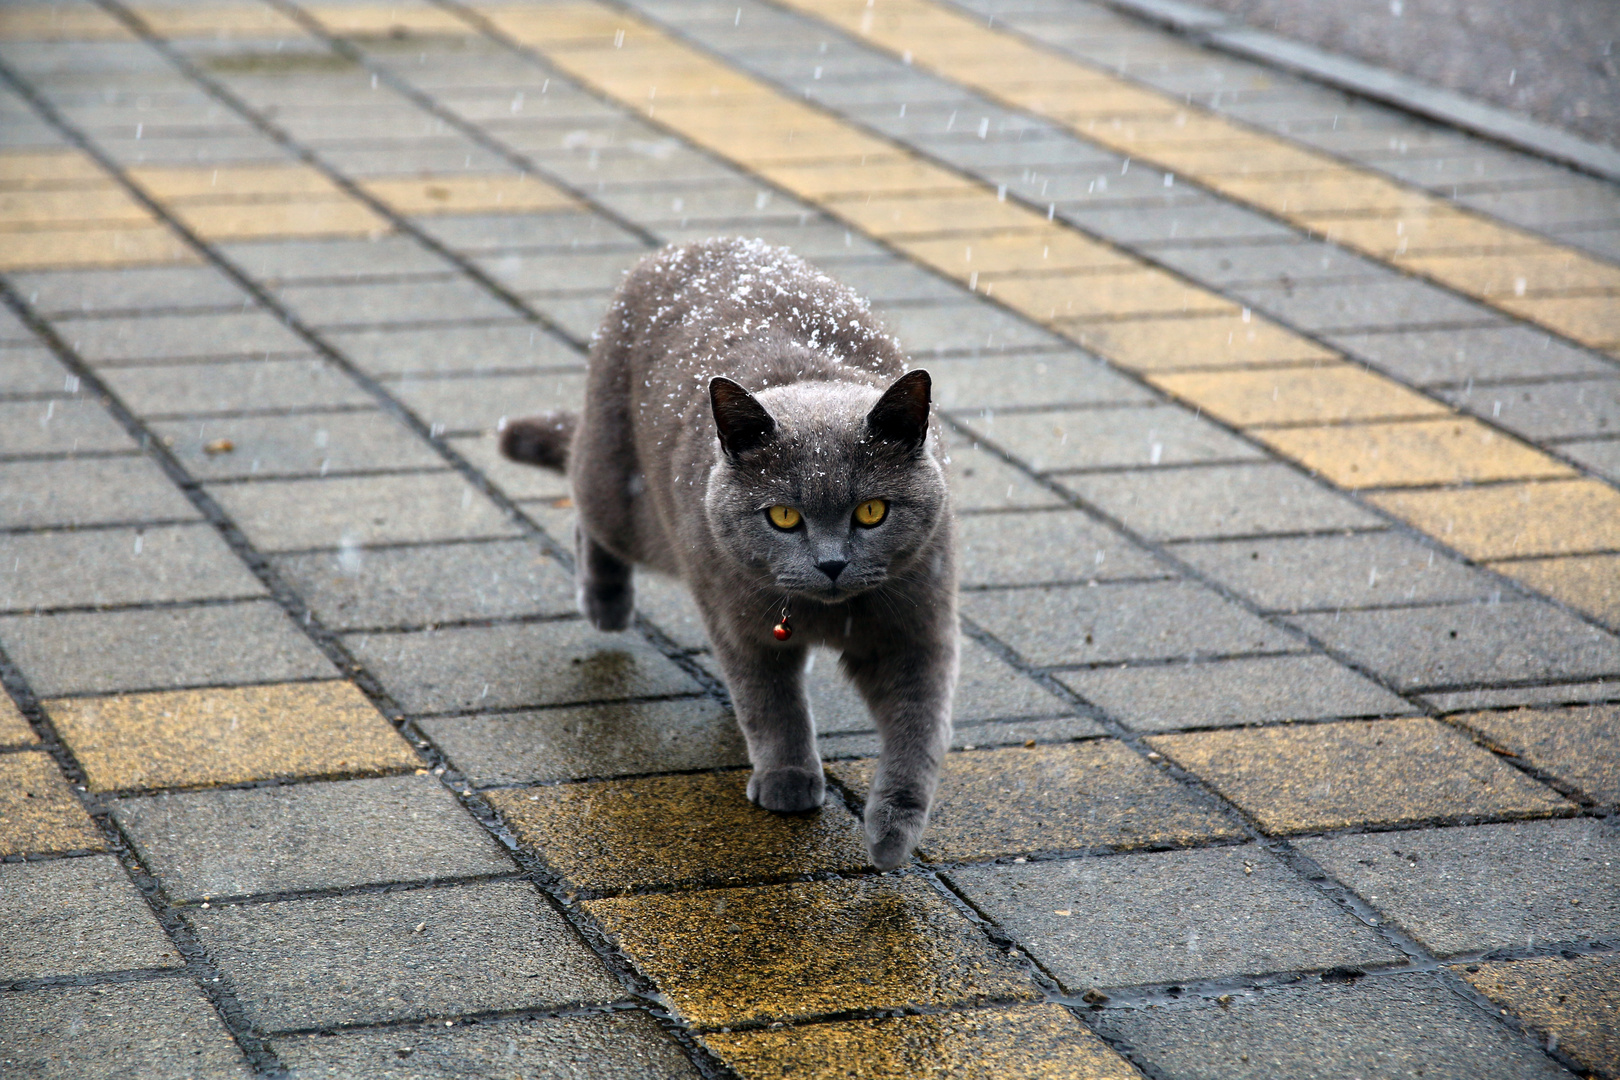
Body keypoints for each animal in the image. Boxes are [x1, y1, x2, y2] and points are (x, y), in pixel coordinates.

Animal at [498, 236, 952, 867]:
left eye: (871, 512)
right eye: (783, 517)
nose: (832, 563)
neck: (828, 615)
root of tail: (681, 247)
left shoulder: (917, 628)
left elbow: (918, 731)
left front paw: (892, 835)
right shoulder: (739, 624)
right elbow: (770, 704)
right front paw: (789, 781)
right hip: (626, 498)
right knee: (587, 505)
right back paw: (605, 604)